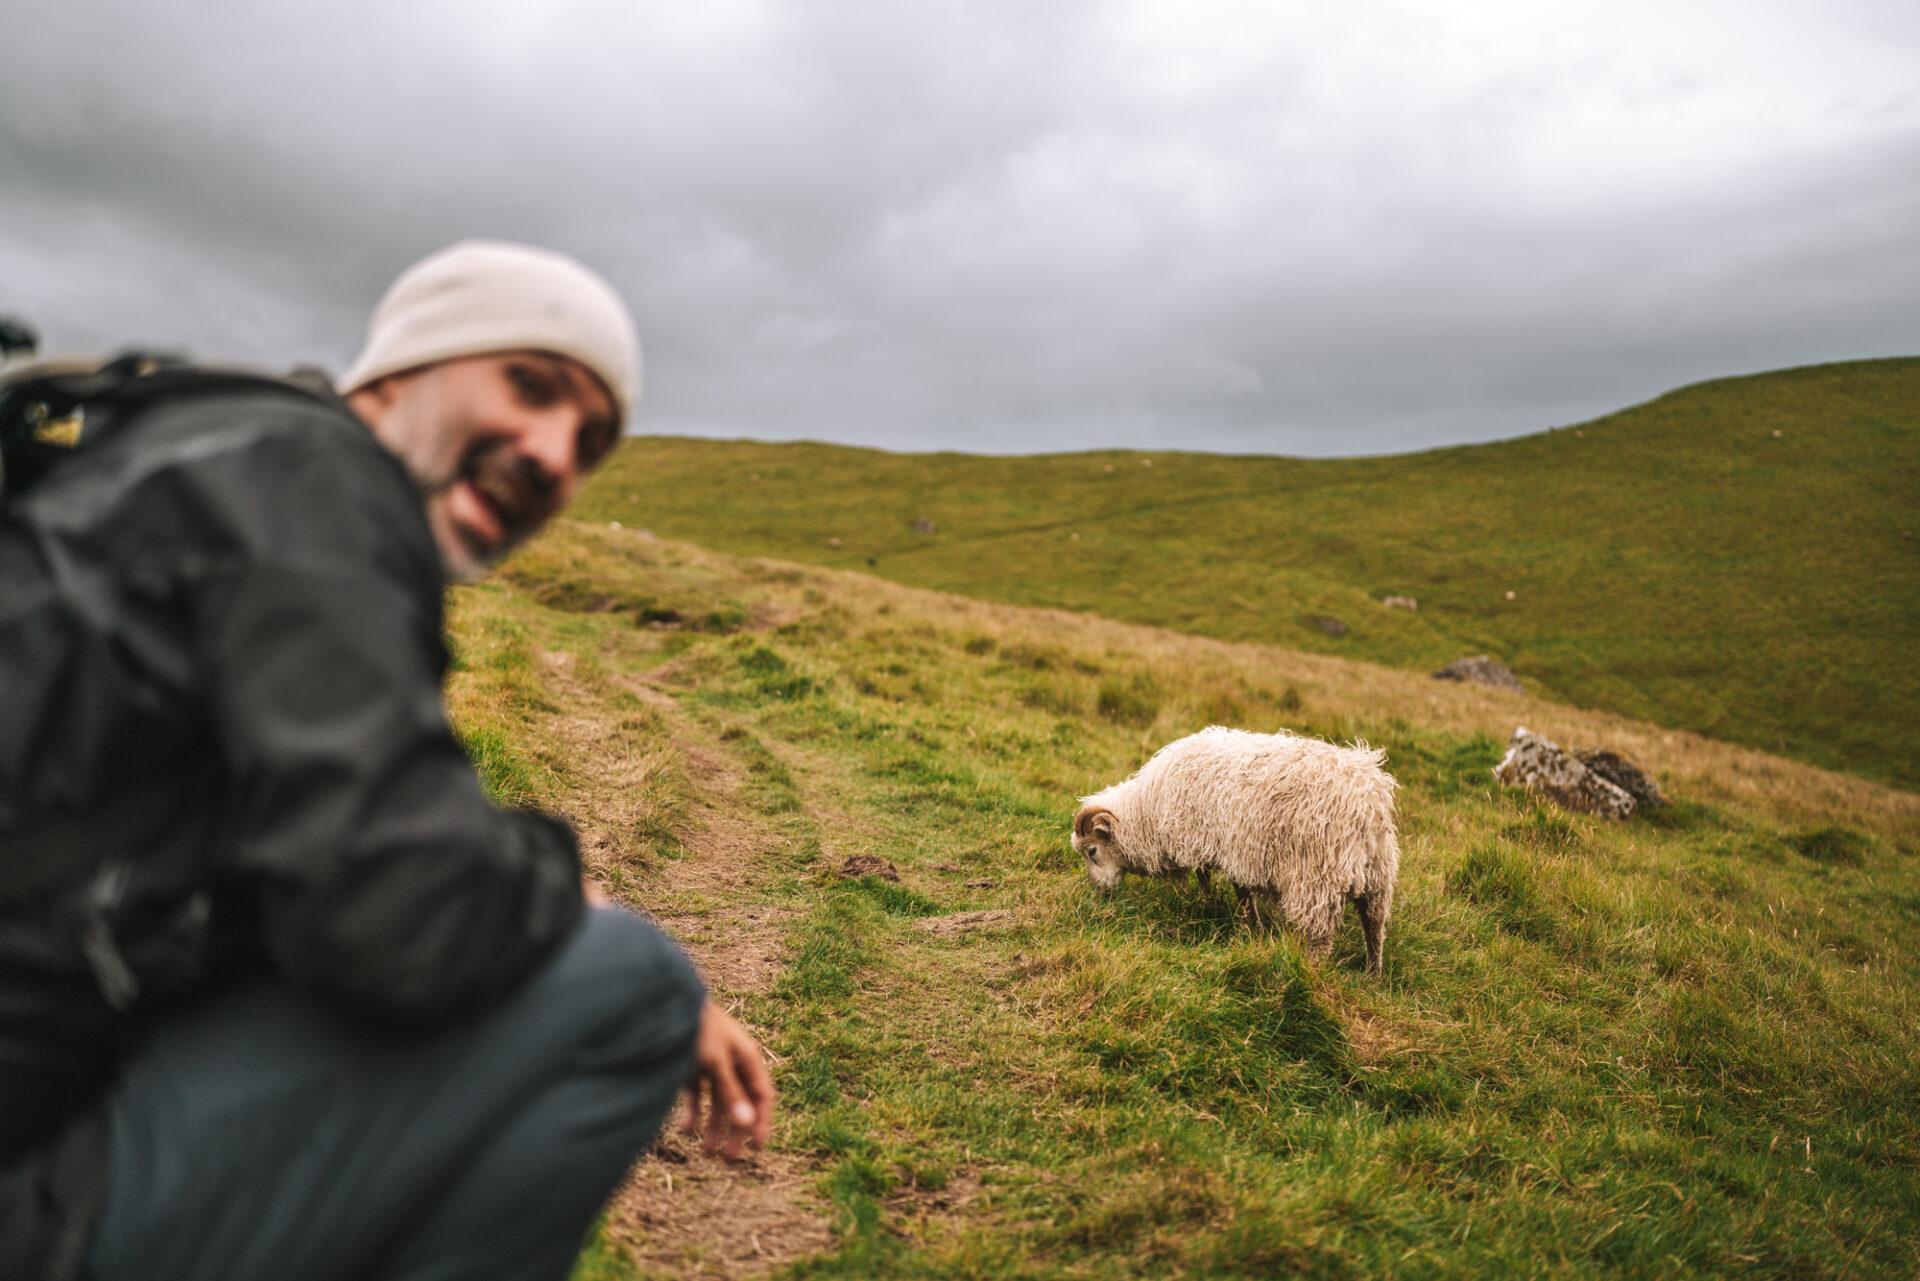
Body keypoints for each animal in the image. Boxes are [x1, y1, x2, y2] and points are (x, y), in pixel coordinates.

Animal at [1075, 729, 1405, 971]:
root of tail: (1366, 798)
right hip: (1378, 873)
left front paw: (1248, 925)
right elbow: (1214, 880)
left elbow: (1235, 891)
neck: (1148, 809)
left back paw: (1312, 972)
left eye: (1092, 851)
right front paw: (1226, 912)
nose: (1099, 891)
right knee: (1375, 926)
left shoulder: (1230, 849)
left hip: (1316, 878)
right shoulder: (1224, 848)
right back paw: (1373, 974)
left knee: (1320, 938)